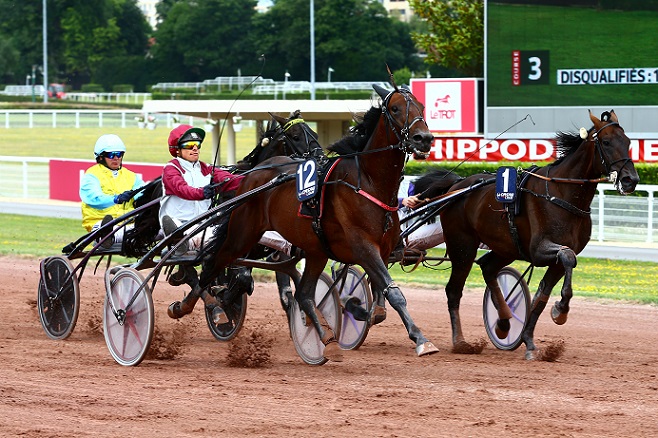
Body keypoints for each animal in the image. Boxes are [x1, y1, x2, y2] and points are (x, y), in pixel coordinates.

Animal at [169, 82, 438, 360]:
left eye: (421, 106)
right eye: (395, 108)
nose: (424, 138)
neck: (368, 183)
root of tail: (254, 175)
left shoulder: (381, 250)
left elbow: (379, 298)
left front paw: (361, 310)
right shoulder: (363, 247)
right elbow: (393, 292)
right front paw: (421, 339)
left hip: (314, 250)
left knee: (304, 294)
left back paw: (324, 336)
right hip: (243, 235)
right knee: (214, 264)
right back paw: (197, 306)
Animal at [416, 109, 636, 360]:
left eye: (627, 142)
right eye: (607, 142)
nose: (631, 180)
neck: (561, 194)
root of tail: (458, 184)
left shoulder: (555, 259)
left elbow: (542, 295)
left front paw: (530, 342)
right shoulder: (539, 250)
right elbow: (567, 256)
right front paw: (560, 311)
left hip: (505, 247)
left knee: (488, 267)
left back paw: (503, 322)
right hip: (462, 246)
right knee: (454, 290)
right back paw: (461, 342)